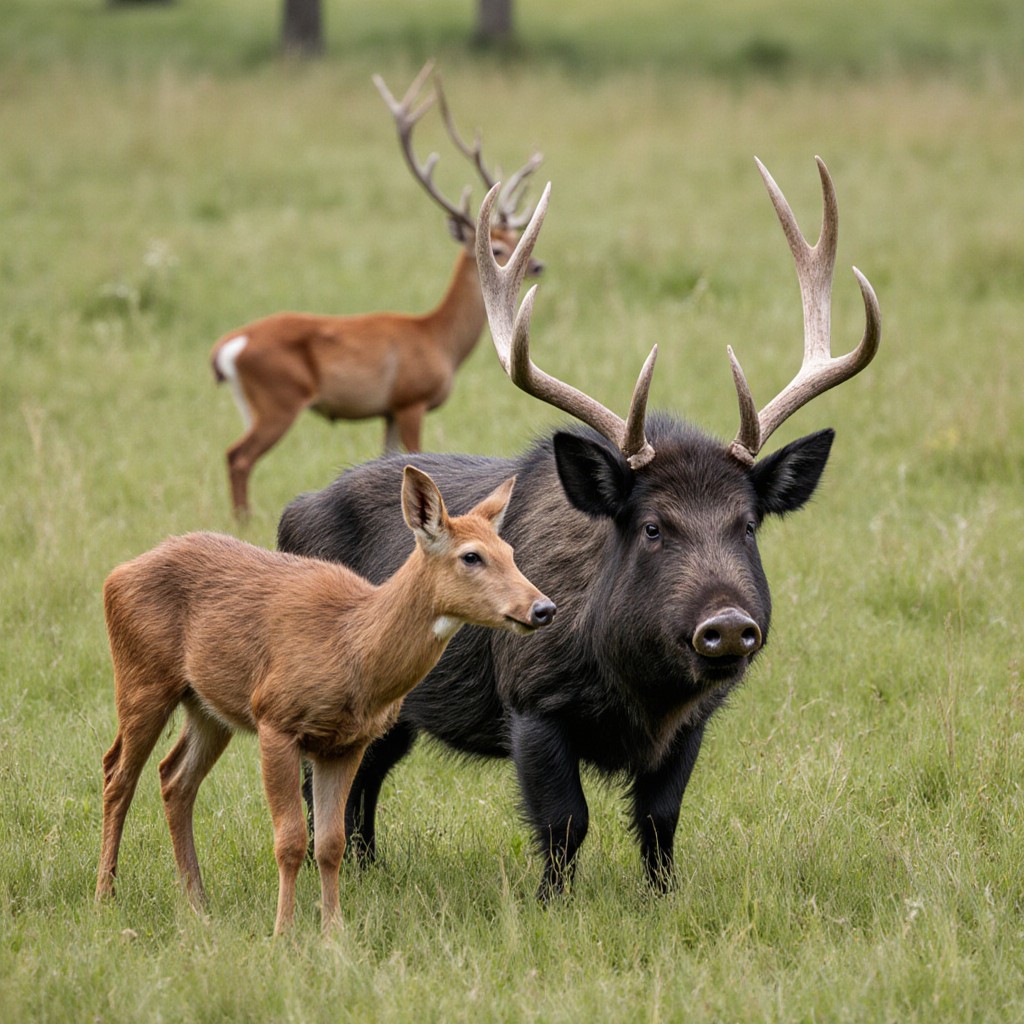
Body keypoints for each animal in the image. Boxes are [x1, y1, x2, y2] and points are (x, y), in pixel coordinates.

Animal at [94, 466, 556, 934]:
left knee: (174, 777)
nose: (543, 608)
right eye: (471, 556)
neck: (350, 646)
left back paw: (196, 901)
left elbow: (331, 842)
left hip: (207, 707)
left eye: (511, 551)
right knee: (117, 773)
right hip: (141, 677)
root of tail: (117, 574)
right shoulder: (275, 718)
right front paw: (283, 931)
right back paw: (105, 896)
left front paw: (333, 930)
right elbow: (291, 839)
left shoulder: (346, 742)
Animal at [210, 62, 545, 517]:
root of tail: (227, 346)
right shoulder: (410, 400)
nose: (538, 264)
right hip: (278, 399)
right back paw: (244, 520)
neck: (438, 338)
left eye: (515, 239)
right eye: (497, 248)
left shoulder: (385, 413)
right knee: (238, 455)